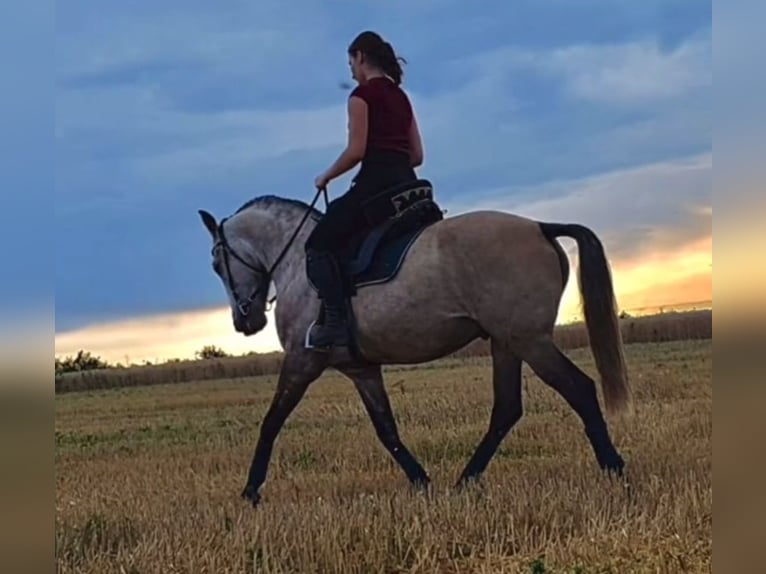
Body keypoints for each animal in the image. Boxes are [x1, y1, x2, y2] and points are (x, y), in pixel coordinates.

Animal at [196, 189, 632, 508]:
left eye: (217, 263)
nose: (244, 322)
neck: (297, 267)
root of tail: (541, 227)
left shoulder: (303, 361)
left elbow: (271, 422)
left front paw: (250, 491)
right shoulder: (362, 369)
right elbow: (385, 427)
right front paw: (421, 482)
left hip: (529, 340)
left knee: (578, 389)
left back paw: (615, 470)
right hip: (507, 342)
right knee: (507, 408)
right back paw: (464, 481)